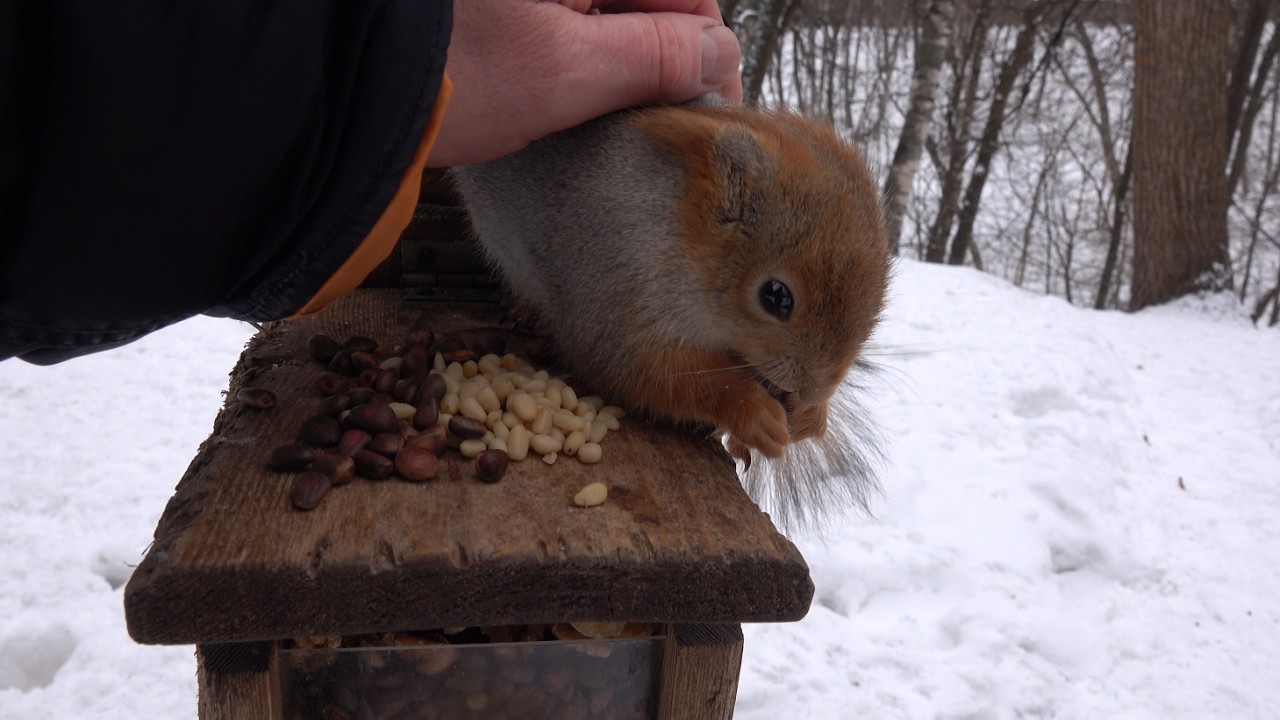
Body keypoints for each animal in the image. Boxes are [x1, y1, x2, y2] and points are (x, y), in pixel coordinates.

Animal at [451, 97, 890, 504]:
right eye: (776, 296)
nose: (815, 391)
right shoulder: (610, 290)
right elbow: (653, 374)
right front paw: (751, 410)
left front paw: (811, 417)